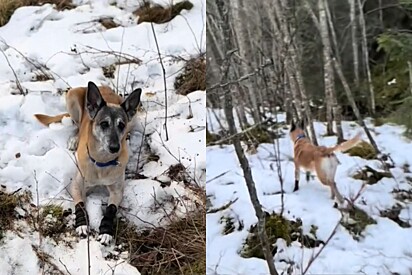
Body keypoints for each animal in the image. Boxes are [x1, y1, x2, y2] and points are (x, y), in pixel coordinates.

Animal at [33, 82, 142, 246]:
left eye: (121, 125)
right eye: (104, 124)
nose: (115, 147)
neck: (102, 163)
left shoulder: (117, 191)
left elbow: (111, 209)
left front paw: (106, 231)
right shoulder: (76, 185)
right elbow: (80, 204)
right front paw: (82, 223)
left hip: (134, 119)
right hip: (72, 97)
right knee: (77, 125)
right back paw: (74, 140)